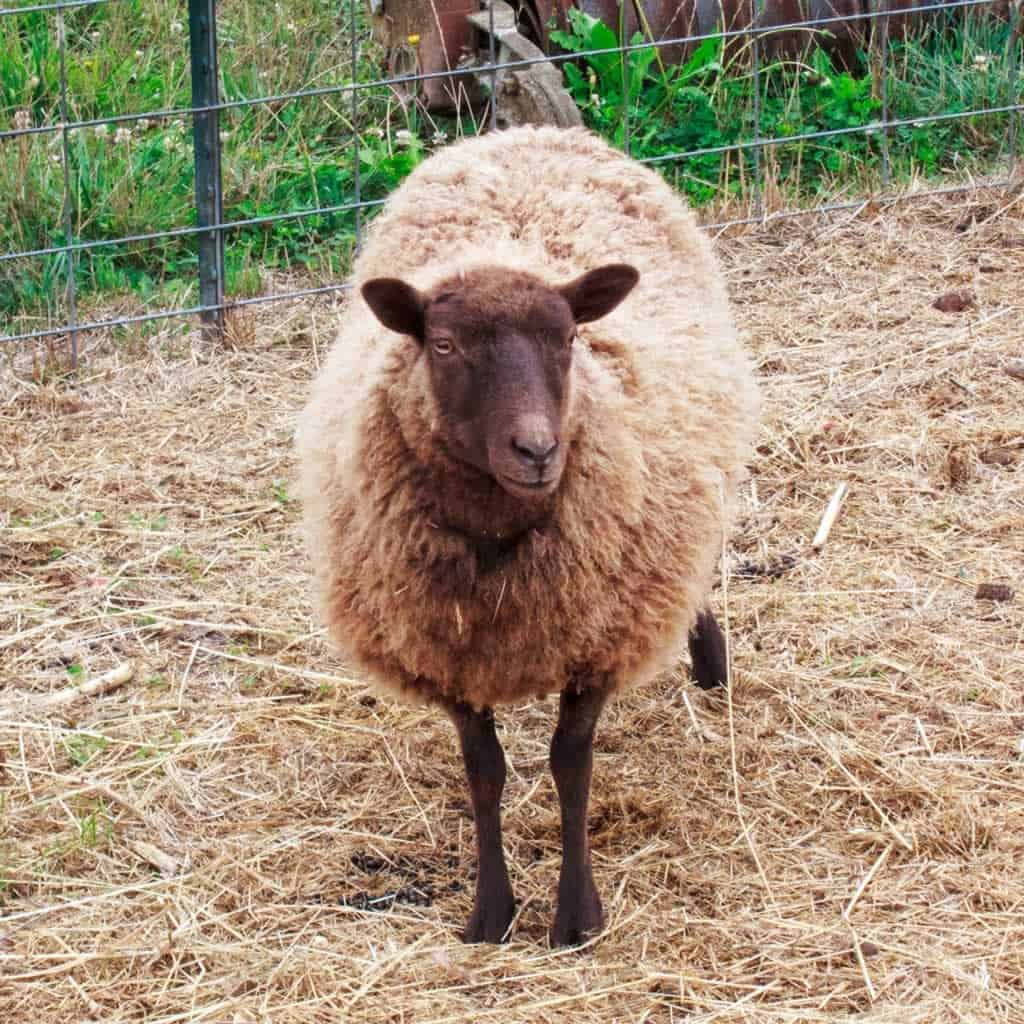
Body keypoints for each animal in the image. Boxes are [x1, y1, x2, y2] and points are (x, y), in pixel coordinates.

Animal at [296, 123, 761, 946]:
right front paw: (491, 913)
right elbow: (485, 774)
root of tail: (532, 129)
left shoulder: (601, 638)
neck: (497, 533)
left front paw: (577, 916)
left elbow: (569, 767)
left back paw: (708, 658)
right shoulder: (447, 651)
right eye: (443, 346)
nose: (538, 451)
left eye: (570, 336)